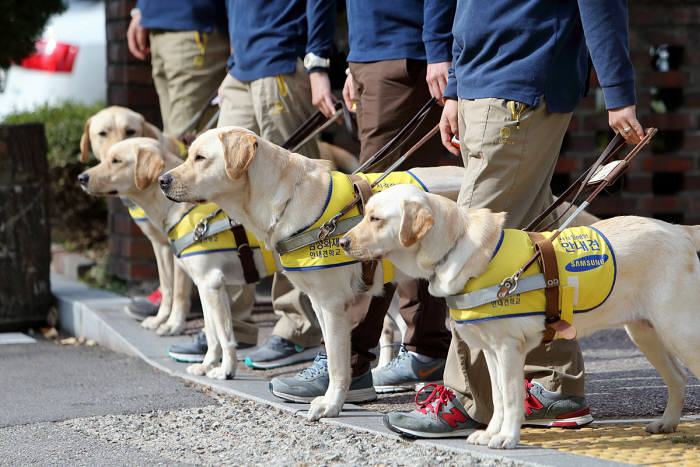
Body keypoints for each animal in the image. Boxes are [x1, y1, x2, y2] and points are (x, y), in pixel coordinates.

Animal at [340, 186, 700, 450]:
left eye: (375, 218)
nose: (342, 241)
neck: (456, 248)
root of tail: (679, 229)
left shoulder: (509, 349)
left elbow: (512, 398)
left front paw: (508, 438)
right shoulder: (491, 351)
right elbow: (499, 397)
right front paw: (492, 433)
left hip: (680, 332)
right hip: (645, 333)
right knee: (677, 378)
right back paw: (666, 423)